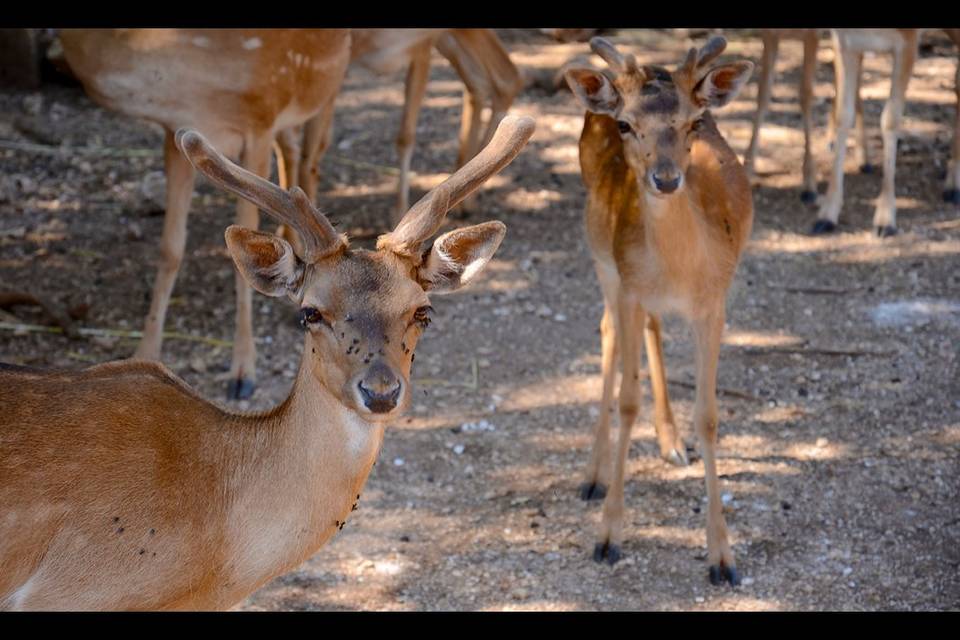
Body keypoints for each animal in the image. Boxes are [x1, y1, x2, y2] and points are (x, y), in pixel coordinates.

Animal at [62, 31, 356, 400]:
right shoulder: (176, 134)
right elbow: (170, 248)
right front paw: (143, 353)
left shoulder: (260, 119)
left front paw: (243, 372)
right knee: (291, 154)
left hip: (326, 93)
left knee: (311, 160)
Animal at [564, 36, 756, 584]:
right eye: (627, 125)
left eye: (695, 122)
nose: (665, 179)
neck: (679, 270)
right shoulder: (628, 284)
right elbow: (628, 400)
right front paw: (608, 536)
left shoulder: (714, 302)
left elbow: (709, 416)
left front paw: (722, 557)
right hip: (599, 253)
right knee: (608, 328)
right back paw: (592, 475)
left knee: (648, 325)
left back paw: (671, 442)